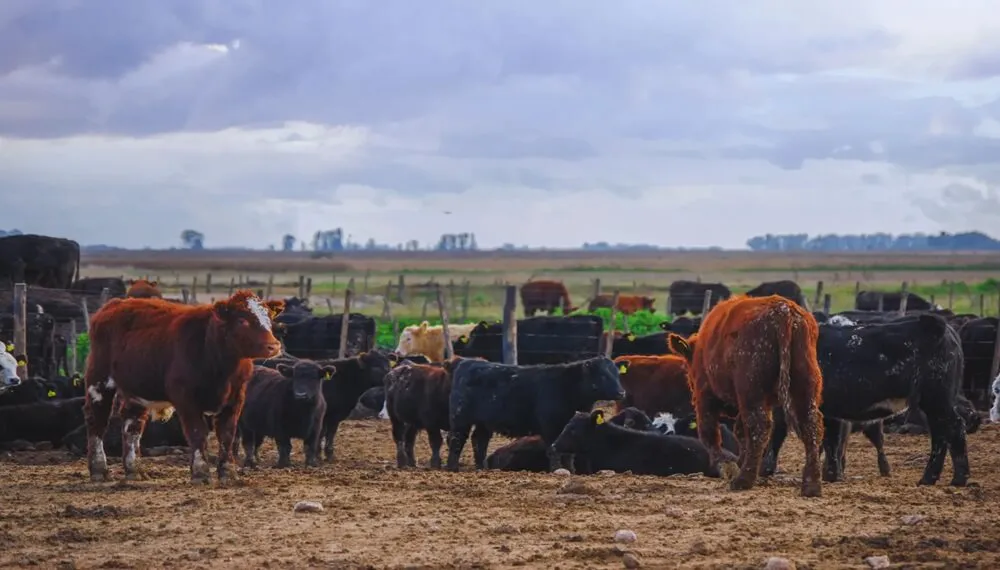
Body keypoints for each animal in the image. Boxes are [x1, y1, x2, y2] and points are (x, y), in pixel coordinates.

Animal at [82, 290, 286, 484]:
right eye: (242, 320)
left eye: (269, 318)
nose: (273, 345)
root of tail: (114, 304)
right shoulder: (185, 397)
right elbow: (197, 433)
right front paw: (200, 473)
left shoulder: (236, 397)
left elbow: (227, 434)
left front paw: (228, 473)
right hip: (99, 380)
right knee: (97, 421)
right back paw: (99, 470)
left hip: (137, 389)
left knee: (132, 425)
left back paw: (134, 470)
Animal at [445, 356, 627, 472]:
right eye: (603, 376)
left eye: (618, 375)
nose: (621, 392)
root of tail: (465, 362)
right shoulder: (550, 426)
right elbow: (553, 450)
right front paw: (556, 470)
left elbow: (569, 453)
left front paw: (570, 470)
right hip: (460, 418)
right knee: (456, 439)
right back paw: (452, 468)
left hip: (484, 422)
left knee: (479, 440)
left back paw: (481, 468)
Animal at [667, 295, 825, 497]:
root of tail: (783, 310)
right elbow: (741, 432)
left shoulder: (705, 397)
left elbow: (709, 433)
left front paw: (728, 466)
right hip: (804, 388)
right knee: (811, 425)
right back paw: (811, 485)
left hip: (751, 392)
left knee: (760, 427)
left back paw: (743, 480)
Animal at [762, 314, 971, 487]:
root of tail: (938, 325)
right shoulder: (829, 411)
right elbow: (831, 441)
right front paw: (832, 474)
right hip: (933, 403)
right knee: (940, 434)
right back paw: (933, 478)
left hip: (937, 399)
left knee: (953, 428)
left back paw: (954, 478)